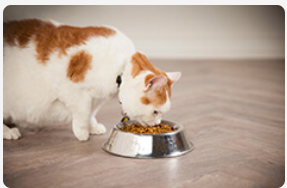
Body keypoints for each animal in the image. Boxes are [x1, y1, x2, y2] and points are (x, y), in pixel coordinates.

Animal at [3, 19, 181, 141]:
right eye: (156, 112)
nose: (157, 124)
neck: (120, 67)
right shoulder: (73, 91)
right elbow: (83, 113)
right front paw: (82, 132)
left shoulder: (95, 99)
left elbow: (90, 113)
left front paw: (93, 127)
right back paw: (9, 131)